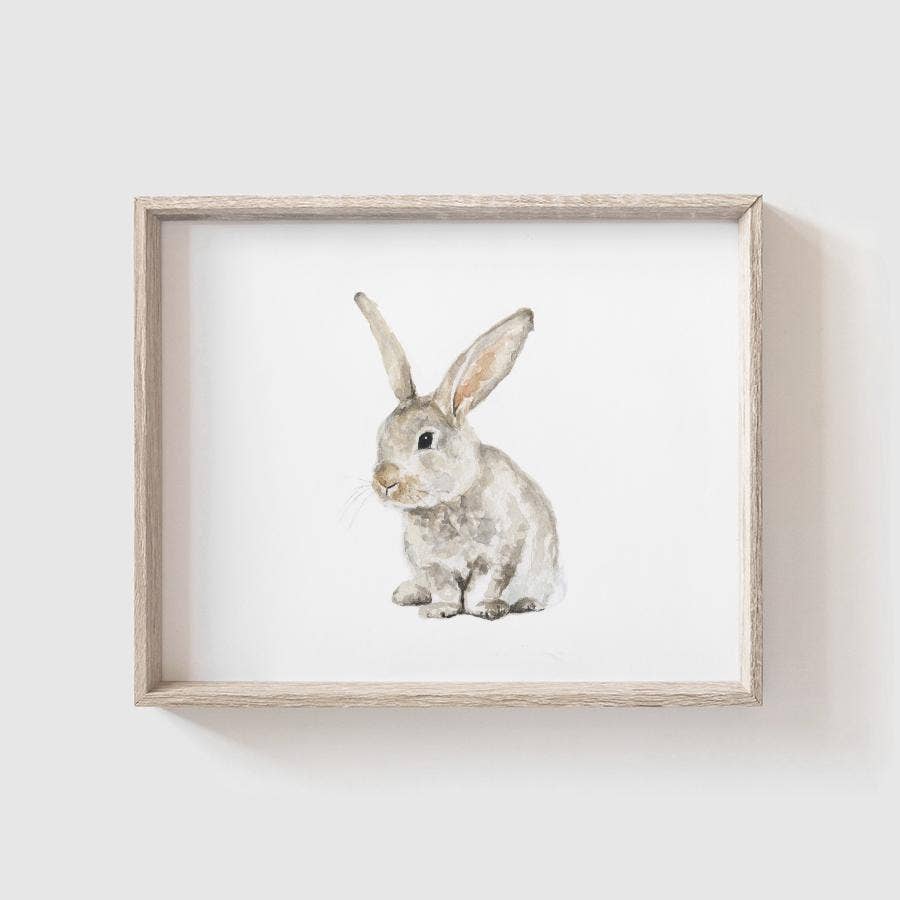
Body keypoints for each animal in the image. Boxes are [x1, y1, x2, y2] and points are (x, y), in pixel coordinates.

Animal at [354, 291, 561, 620]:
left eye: (426, 439)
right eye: (381, 435)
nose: (384, 481)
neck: (446, 503)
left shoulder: (500, 555)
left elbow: (481, 586)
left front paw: (487, 610)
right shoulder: (432, 564)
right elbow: (446, 589)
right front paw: (439, 610)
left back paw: (528, 603)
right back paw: (408, 593)